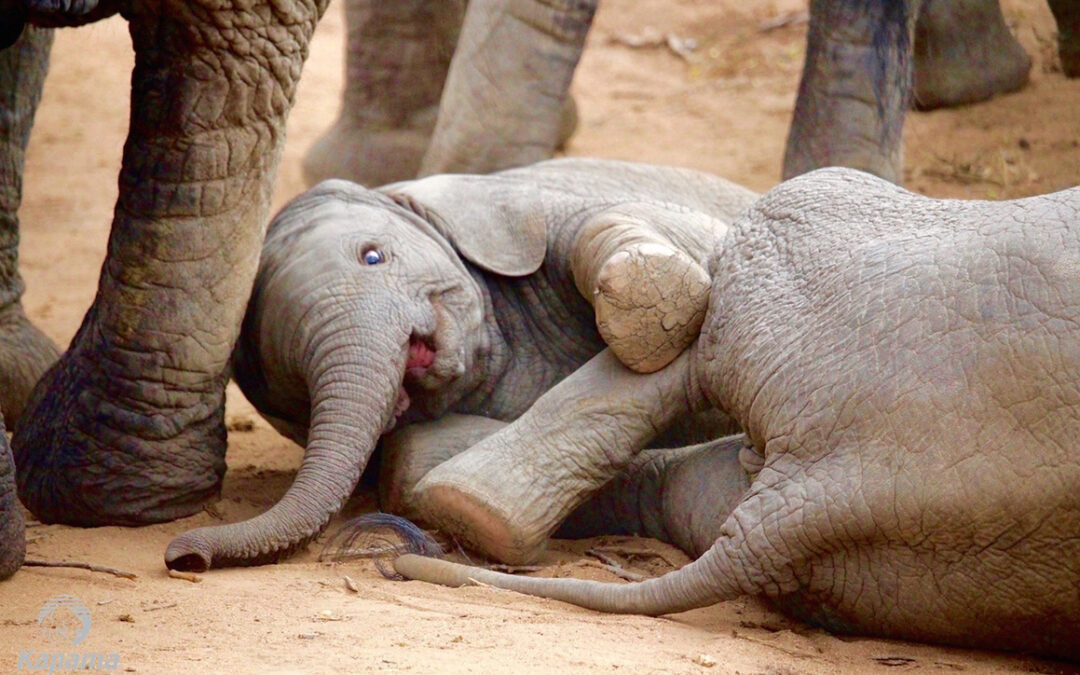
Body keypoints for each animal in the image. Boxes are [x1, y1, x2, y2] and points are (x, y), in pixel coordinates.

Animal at [162, 157, 759, 571]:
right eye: (294, 387)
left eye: (373, 256)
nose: (182, 559)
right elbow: (411, 466)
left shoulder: (523, 211)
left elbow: (632, 223)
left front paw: (652, 311)